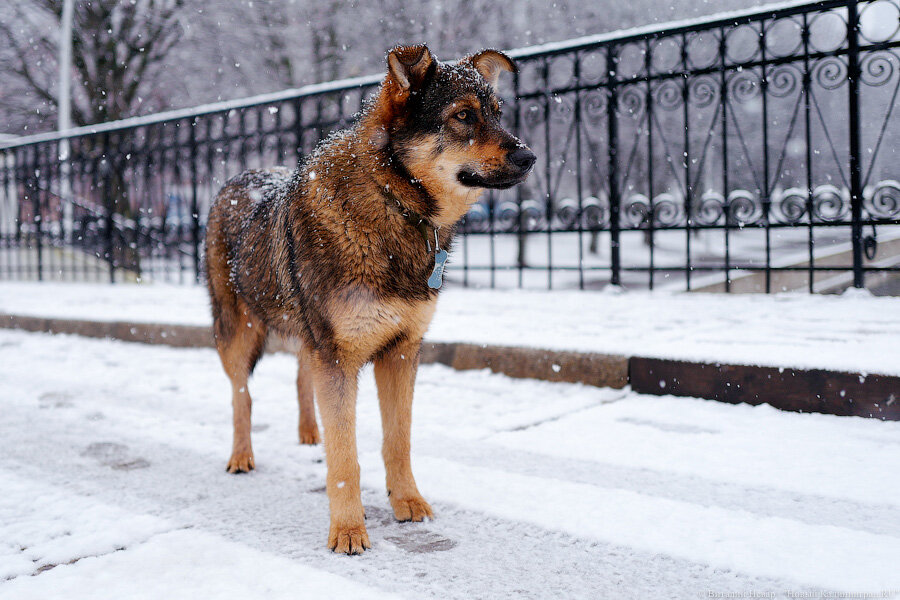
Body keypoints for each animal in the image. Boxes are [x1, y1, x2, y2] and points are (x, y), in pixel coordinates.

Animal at [206, 44, 536, 556]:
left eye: (499, 115)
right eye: (463, 116)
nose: (529, 156)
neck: (393, 203)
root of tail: (237, 177)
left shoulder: (401, 352)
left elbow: (397, 441)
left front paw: (408, 503)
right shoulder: (338, 359)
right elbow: (346, 458)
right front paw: (347, 530)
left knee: (300, 377)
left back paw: (309, 433)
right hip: (237, 337)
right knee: (243, 397)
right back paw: (242, 455)